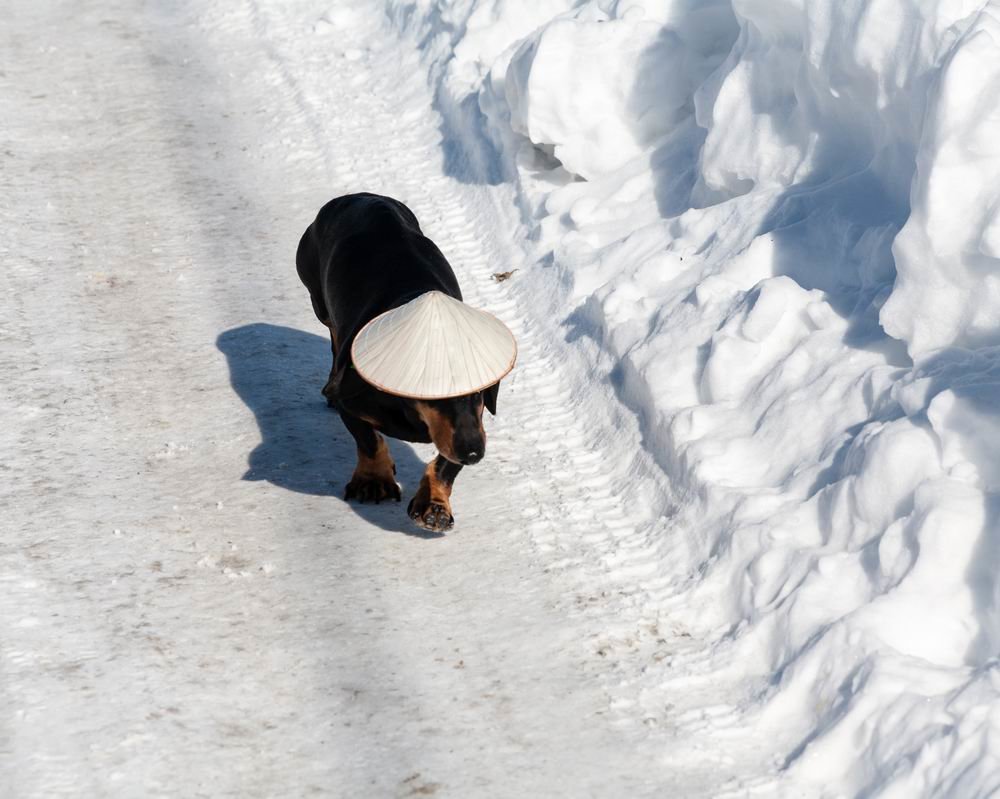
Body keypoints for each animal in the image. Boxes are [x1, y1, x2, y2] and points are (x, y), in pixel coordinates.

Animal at [294, 193, 500, 532]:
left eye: (481, 393)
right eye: (436, 393)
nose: (473, 453)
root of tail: (361, 196)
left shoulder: (468, 427)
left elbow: (444, 463)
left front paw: (434, 505)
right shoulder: (351, 399)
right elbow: (369, 440)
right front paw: (373, 481)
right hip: (318, 300)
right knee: (333, 334)